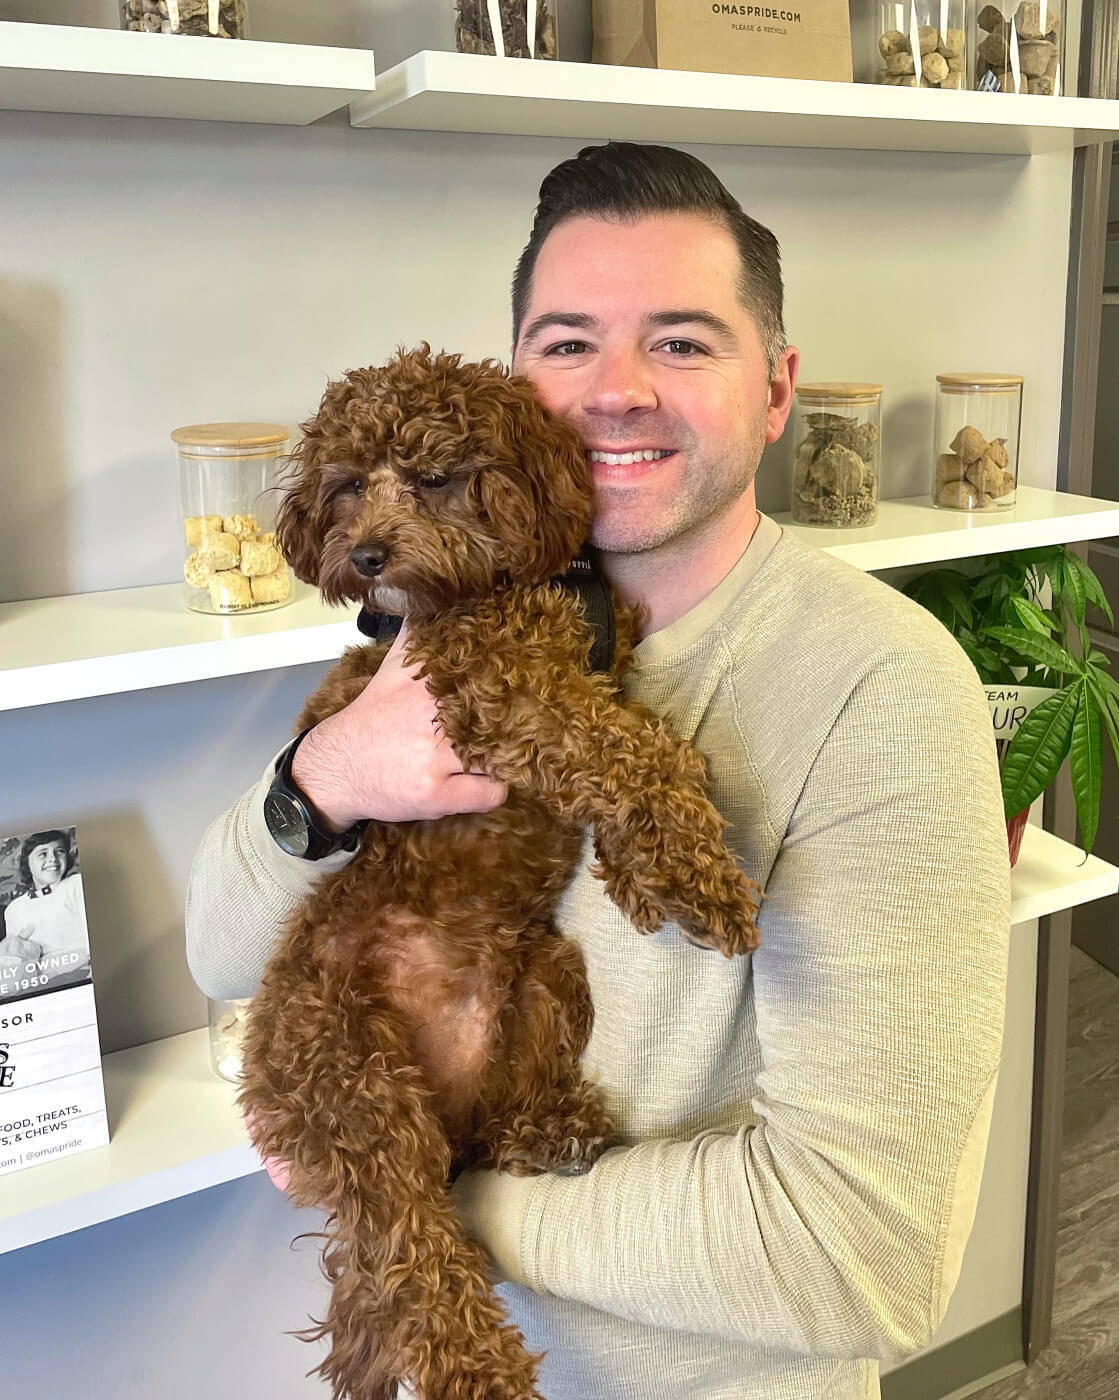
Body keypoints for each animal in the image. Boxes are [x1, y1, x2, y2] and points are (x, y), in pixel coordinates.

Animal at [239, 341, 767, 1400]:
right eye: (347, 486)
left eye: (434, 478)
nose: (366, 556)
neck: (506, 583)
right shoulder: (497, 691)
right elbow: (620, 749)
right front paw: (698, 879)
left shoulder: (588, 660)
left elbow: (643, 742)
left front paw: (651, 873)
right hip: (351, 1078)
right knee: (414, 1252)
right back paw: (477, 1366)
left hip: (541, 980)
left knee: (480, 1149)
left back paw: (547, 1130)